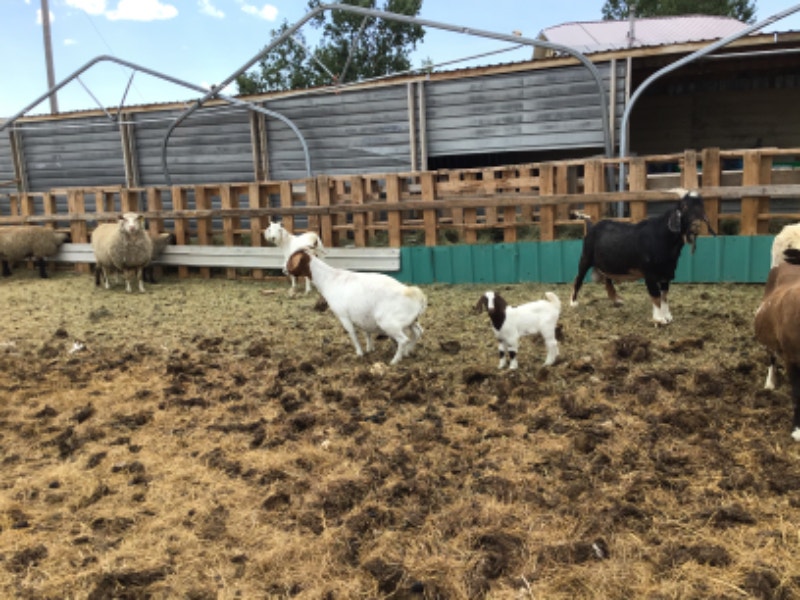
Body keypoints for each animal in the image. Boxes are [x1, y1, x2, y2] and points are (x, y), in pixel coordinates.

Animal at [286, 250, 426, 365]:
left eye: (291, 259)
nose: (284, 270)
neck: (330, 279)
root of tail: (415, 295)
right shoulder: (363, 316)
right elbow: (366, 332)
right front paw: (370, 349)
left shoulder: (343, 315)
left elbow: (352, 333)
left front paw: (359, 353)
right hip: (411, 321)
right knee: (418, 332)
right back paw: (407, 352)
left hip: (389, 323)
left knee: (403, 339)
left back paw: (394, 361)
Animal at [570, 190, 716, 325]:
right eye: (684, 207)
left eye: (701, 206)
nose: (696, 225)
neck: (664, 238)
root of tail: (591, 226)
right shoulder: (650, 274)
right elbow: (656, 295)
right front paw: (659, 319)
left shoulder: (666, 273)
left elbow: (664, 296)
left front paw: (668, 316)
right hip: (585, 258)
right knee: (578, 279)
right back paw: (573, 303)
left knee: (607, 279)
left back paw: (617, 299)